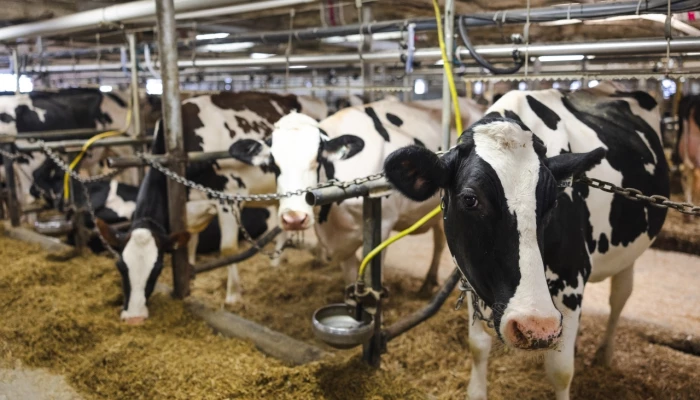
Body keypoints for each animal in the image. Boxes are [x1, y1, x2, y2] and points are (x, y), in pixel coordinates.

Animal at [95, 90, 320, 323]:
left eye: (157, 267)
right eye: (120, 266)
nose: (134, 317)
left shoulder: (230, 199)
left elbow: (228, 249)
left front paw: (233, 296)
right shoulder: (188, 210)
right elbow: (189, 244)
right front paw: (190, 279)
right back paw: (276, 264)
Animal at [228, 97, 484, 295]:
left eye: (318, 158)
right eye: (272, 163)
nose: (294, 219)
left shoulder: (383, 224)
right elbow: (351, 280)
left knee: (441, 241)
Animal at [383, 82, 669, 400]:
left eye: (554, 200)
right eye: (470, 200)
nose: (536, 327)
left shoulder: (572, 278)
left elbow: (561, 371)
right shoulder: (473, 275)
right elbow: (478, 347)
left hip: (630, 250)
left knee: (620, 296)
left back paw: (604, 354)